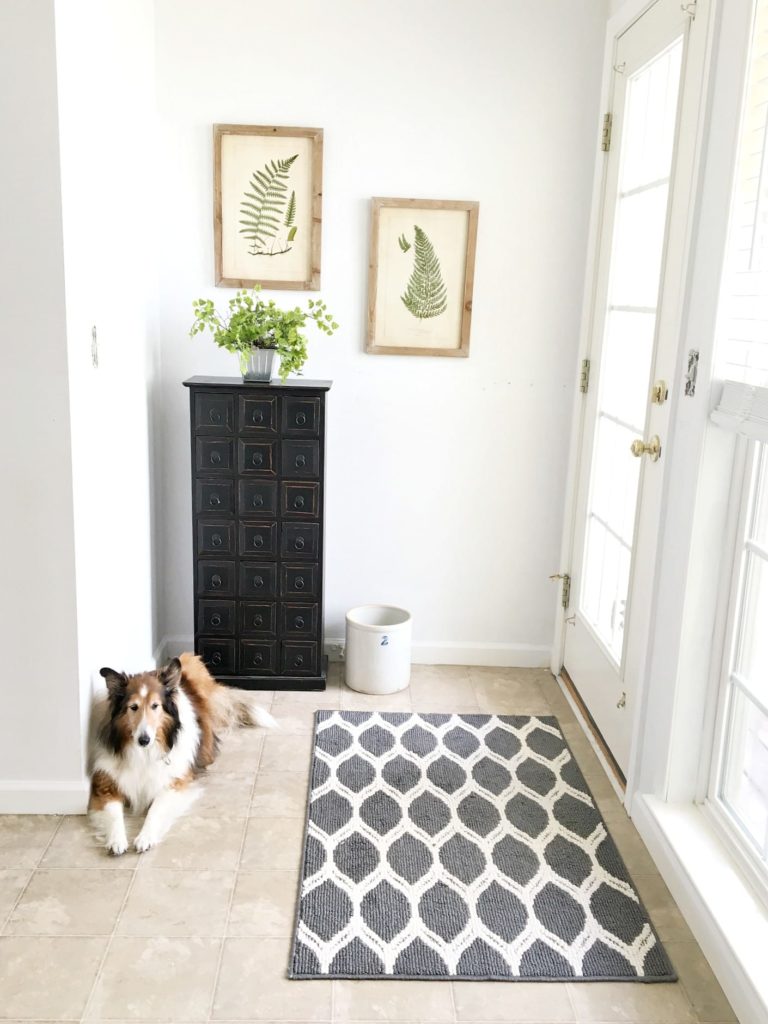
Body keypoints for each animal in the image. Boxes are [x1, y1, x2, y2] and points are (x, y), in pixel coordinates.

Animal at [88, 651, 274, 851]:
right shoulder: (105, 785)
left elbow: (156, 810)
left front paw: (145, 837)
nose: (144, 740)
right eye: (133, 707)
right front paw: (116, 841)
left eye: (155, 706)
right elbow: (113, 814)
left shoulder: (174, 783)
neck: (145, 754)